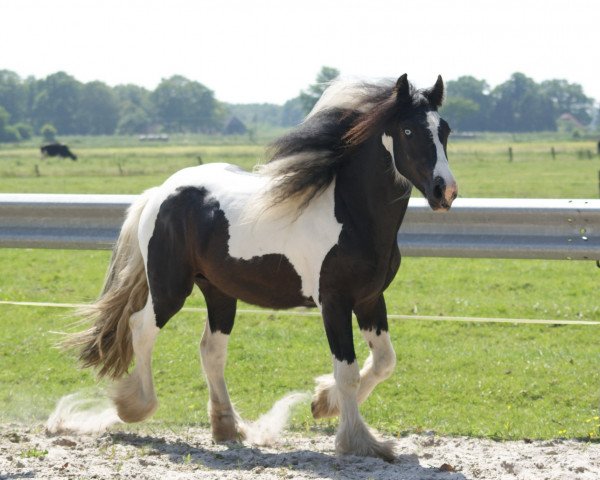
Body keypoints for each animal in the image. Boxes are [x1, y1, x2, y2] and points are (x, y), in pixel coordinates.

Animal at [68, 73, 458, 460]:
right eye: (408, 130)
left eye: (445, 129)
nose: (446, 191)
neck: (351, 215)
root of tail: (160, 193)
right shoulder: (334, 302)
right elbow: (347, 371)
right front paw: (358, 440)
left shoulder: (370, 299)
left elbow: (383, 362)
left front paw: (323, 403)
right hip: (170, 288)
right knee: (141, 328)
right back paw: (134, 406)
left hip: (219, 292)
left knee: (211, 350)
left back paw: (227, 427)